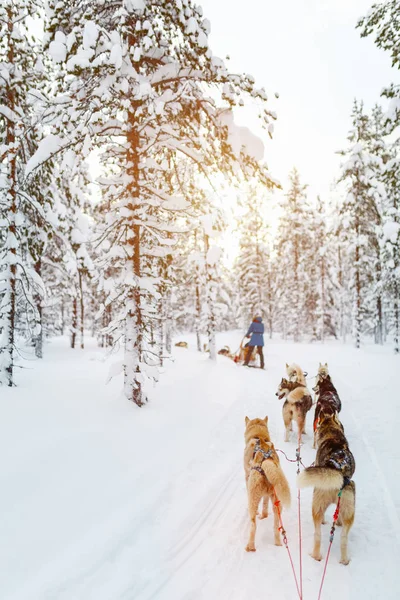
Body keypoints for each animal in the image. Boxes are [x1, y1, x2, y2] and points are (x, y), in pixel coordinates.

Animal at [244, 418, 290, 552]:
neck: (259, 436)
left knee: (253, 525)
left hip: (254, 499)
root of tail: (266, 462)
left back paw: (250, 547)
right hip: (277, 503)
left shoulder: (246, 476)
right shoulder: (266, 496)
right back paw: (278, 543)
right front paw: (264, 515)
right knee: (276, 527)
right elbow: (265, 505)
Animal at [296, 408, 356, 564]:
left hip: (319, 504)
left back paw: (315, 556)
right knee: (343, 538)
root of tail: (336, 468)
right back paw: (344, 560)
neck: (331, 434)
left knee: (318, 534)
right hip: (349, 507)